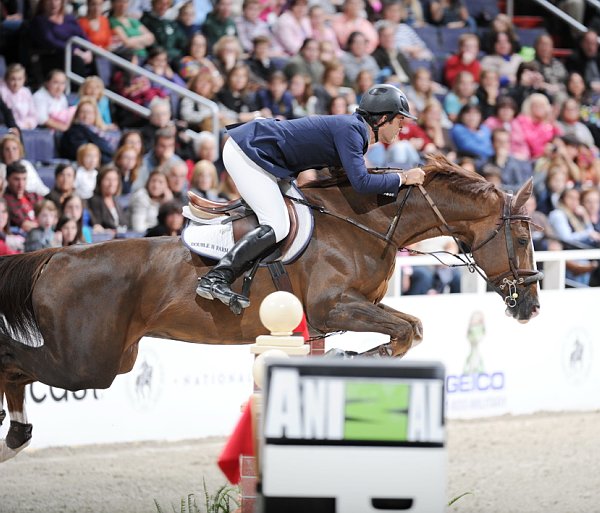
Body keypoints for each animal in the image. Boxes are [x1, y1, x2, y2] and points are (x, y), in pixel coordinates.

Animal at [0, 155, 544, 460]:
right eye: (521, 238)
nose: (532, 307)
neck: (369, 222)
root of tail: (55, 256)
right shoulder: (331, 308)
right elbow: (409, 329)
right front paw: (349, 359)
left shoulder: (349, 310)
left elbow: (405, 330)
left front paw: (345, 365)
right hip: (85, 363)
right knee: (15, 361)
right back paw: (16, 433)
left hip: (115, 358)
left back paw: (18, 435)